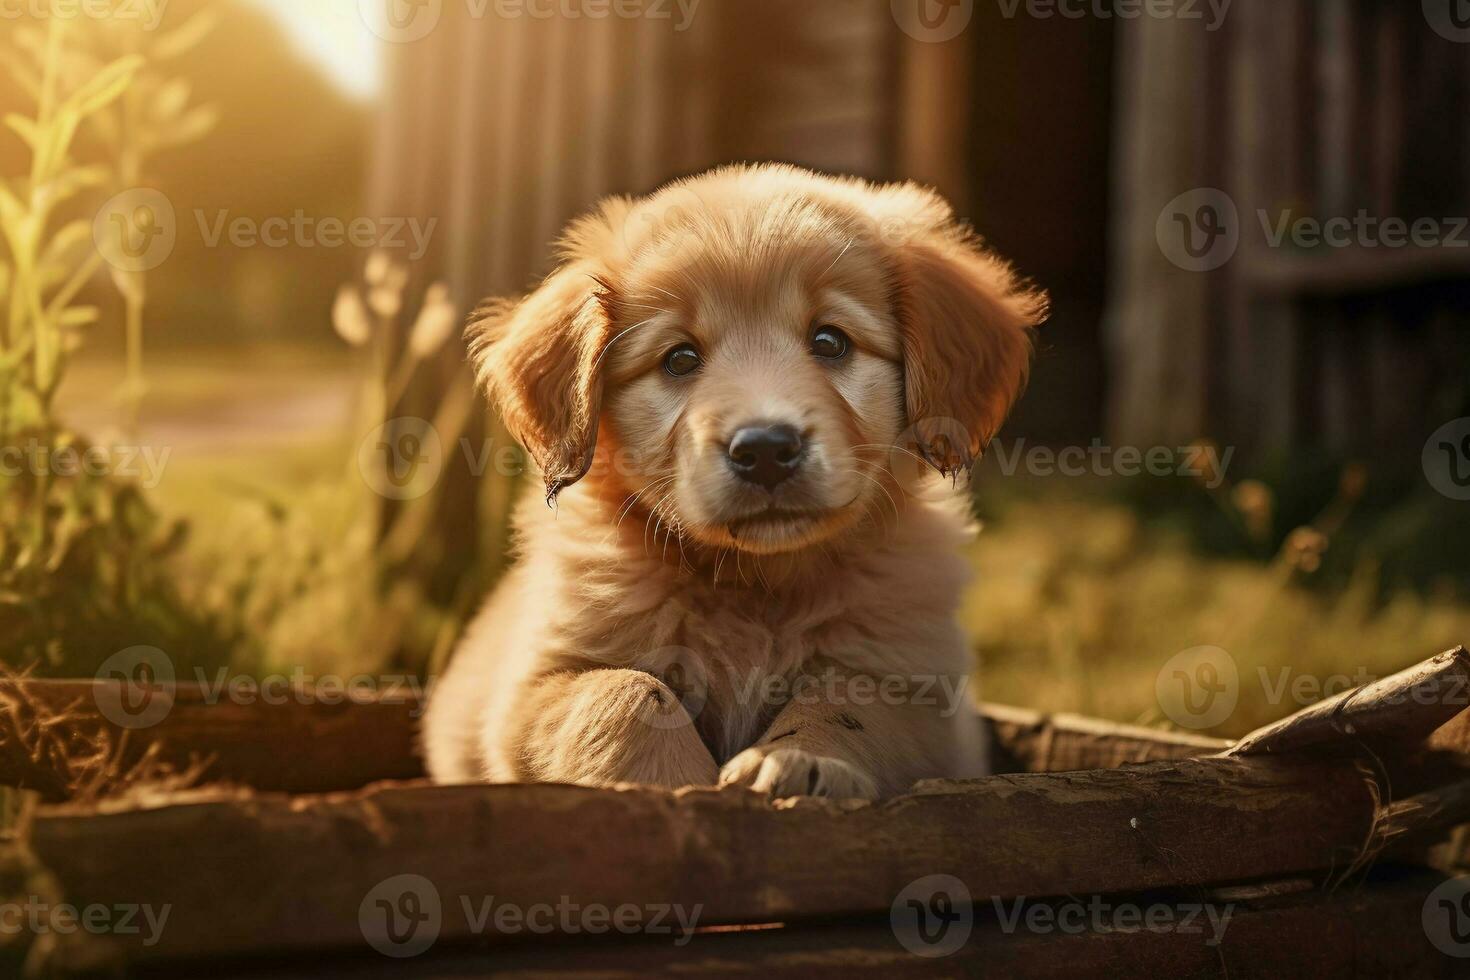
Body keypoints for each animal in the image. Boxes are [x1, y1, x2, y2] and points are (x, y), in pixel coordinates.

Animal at [423, 164, 1046, 799]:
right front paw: (677, 784)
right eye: (679, 359)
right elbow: (625, 694)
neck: (756, 588)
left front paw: (801, 759)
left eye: (830, 342)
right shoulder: (533, 689)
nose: (766, 449)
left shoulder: (925, 696)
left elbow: (848, 699)